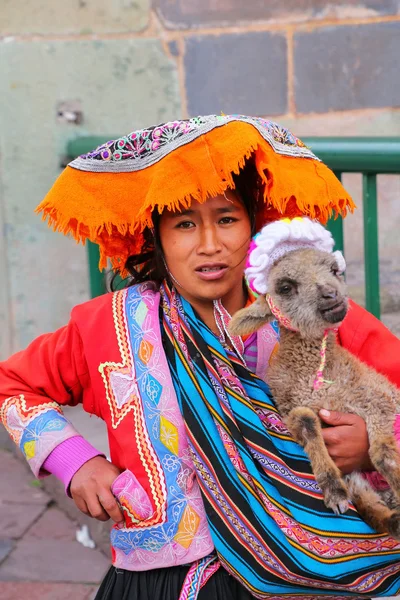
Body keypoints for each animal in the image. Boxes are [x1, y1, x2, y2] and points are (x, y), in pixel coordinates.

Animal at [230, 219, 400, 540]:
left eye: (334, 269)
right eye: (285, 287)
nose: (331, 294)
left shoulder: (379, 397)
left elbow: (382, 452)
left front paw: (396, 475)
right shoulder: (290, 407)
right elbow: (308, 425)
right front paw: (333, 490)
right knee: (371, 506)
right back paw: (393, 519)